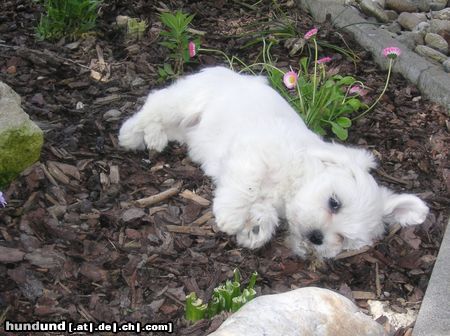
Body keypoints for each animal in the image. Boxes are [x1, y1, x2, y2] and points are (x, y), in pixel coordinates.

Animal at [119, 67, 428, 258]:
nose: (317, 237)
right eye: (334, 203)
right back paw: (132, 133)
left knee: (162, 122)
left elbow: (262, 209)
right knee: (155, 104)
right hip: (185, 101)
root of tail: (230, 72)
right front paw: (231, 217)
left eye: (344, 238)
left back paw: (154, 137)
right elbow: (246, 187)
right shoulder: (253, 156)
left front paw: (256, 229)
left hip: (183, 127)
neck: (296, 177)